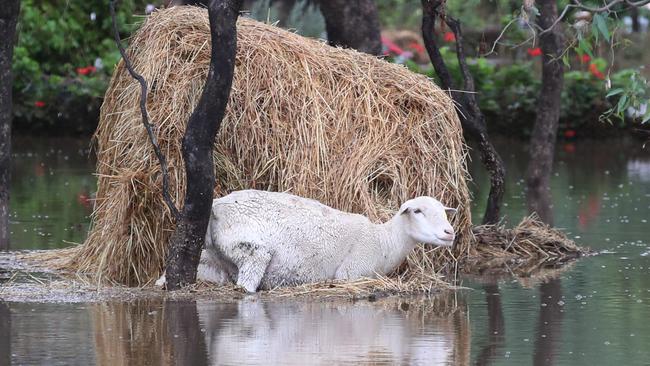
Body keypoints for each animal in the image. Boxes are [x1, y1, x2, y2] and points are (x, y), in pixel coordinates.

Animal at [159, 189, 456, 292]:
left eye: (444, 210)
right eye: (417, 211)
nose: (449, 233)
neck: (383, 242)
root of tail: (216, 207)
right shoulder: (351, 273)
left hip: (212, 259)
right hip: (250, 248)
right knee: (245, 286)